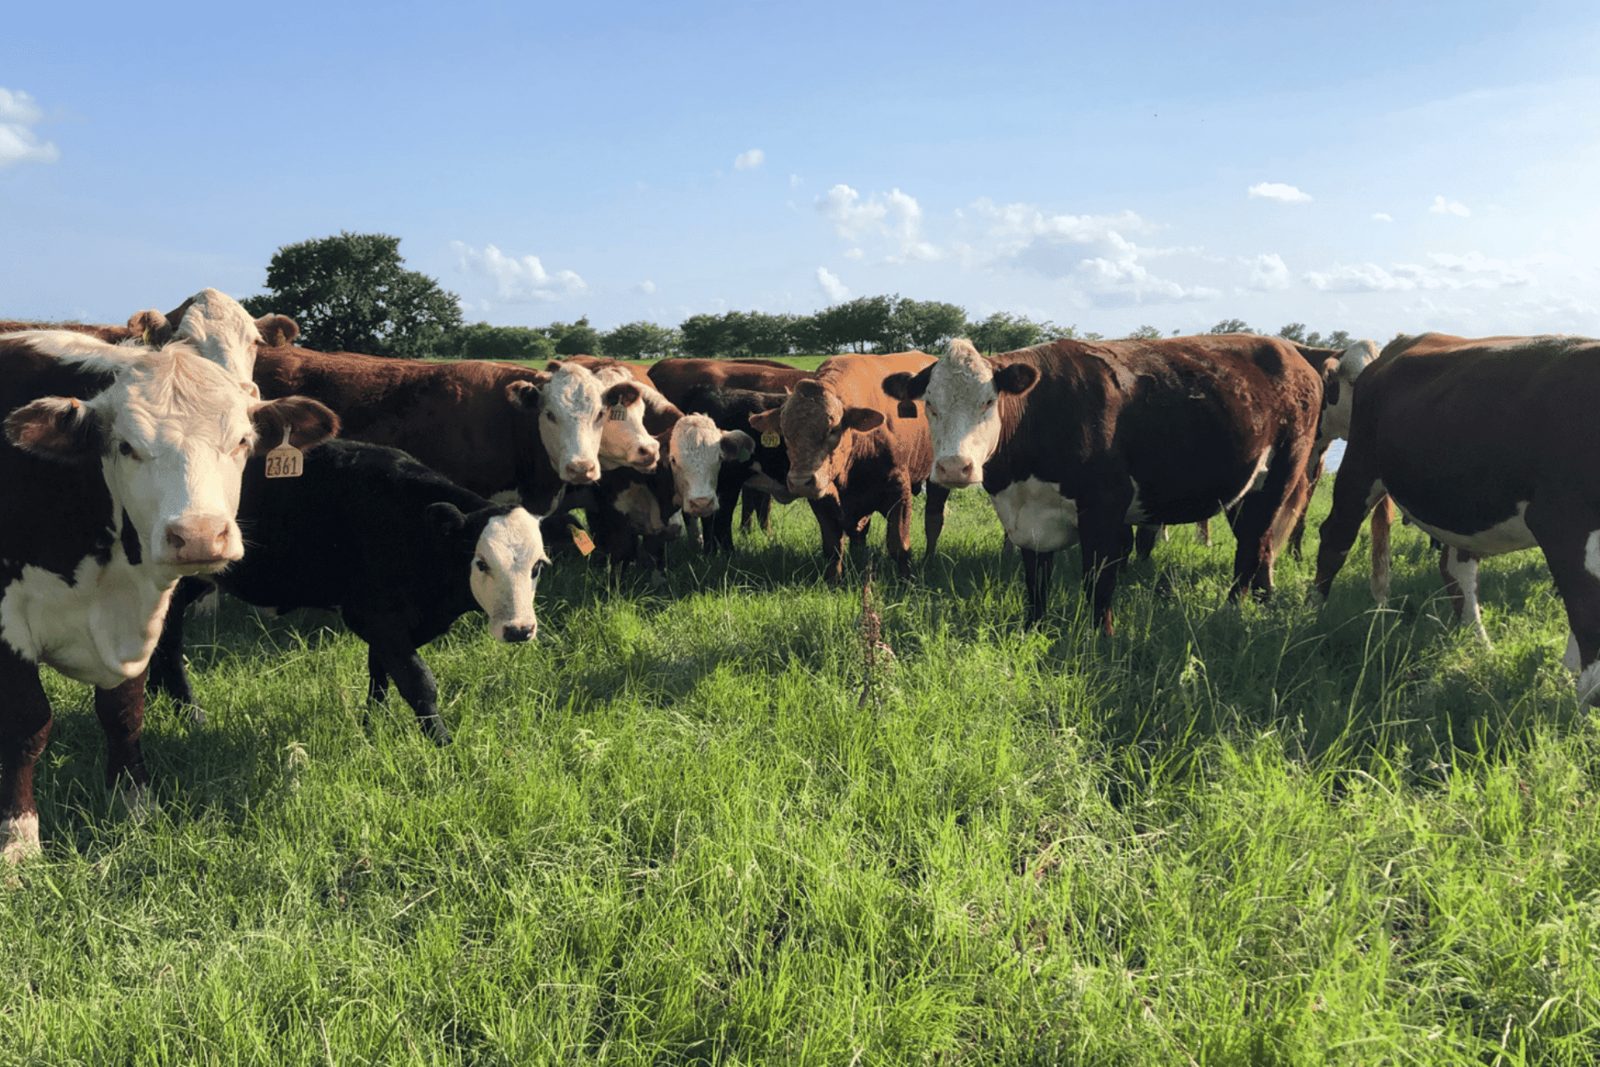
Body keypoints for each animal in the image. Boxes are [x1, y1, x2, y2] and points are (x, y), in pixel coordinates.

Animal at [1, 296, 338, 863]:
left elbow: (123, 713)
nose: (199, 535)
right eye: (125, 446)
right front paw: (19, 837)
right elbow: (27, 725)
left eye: (242, 441)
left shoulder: (143, 616)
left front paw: (135, 807)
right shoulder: (8, 620)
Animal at [147, 440, 548, 745]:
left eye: (537, 566)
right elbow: (418, 681)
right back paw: (192, 716)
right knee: (168, 646)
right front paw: (442, 744)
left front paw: (372, 729)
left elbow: (380, 674)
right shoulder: (373, 616)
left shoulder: (394, 624)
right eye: (481, 563)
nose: (519, 629)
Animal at [747, 352, 949, 582]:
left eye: (833, 429)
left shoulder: (899, 492)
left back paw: (929, 559)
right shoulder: (823, 497)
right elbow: (833, 546)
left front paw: (905, 582)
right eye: (785, 432)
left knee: (933, 519)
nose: (800, 481)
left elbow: (899, 545)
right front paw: (833, 582)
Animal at [883, 336, 1321, 632]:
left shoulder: (1105, 508)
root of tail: (1291, 353)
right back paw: (1259, 602)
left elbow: (1098, 581)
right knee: (1257, 543)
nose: (954, 467)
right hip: (1244, 489)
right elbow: (1035, 583)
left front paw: (1101, 637)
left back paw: (1233, 610)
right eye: (930, 405)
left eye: (988, 403)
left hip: (1280, 476)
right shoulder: (1028, 516)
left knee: (1253, 543)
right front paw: (1033, 631)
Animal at [1312, 333, 1600, 702]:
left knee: (1456, 567)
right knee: (1335, 537)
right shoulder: (1560, 521)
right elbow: (1586, 607)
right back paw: (1314, 615)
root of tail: (1404, 341)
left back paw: (1479, 645)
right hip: (1360, 468)